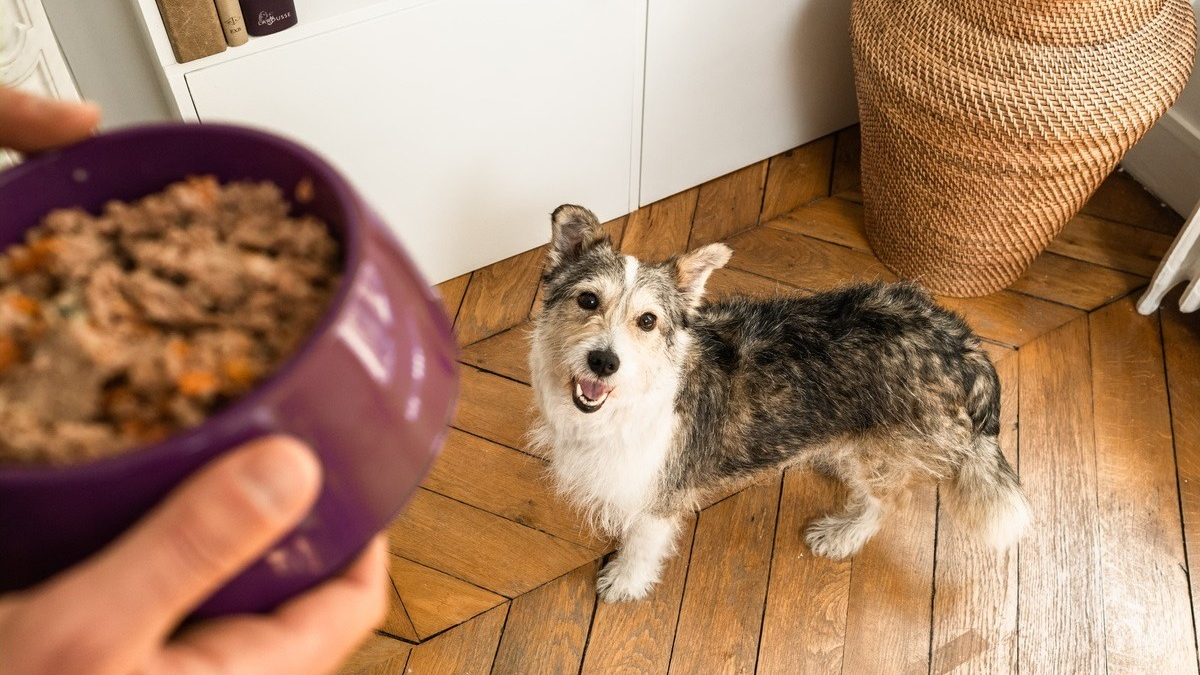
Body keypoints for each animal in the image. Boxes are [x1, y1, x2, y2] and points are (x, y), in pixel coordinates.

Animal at [532, 204, 1032, 598]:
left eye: (648, 321)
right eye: (587, 299)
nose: (603, 361)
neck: (622, 405)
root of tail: (966, 347)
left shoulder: (661, 494)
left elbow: (642, 542)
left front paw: (624, 581)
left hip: (882, 455)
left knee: (887, 502)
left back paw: (843, 533)